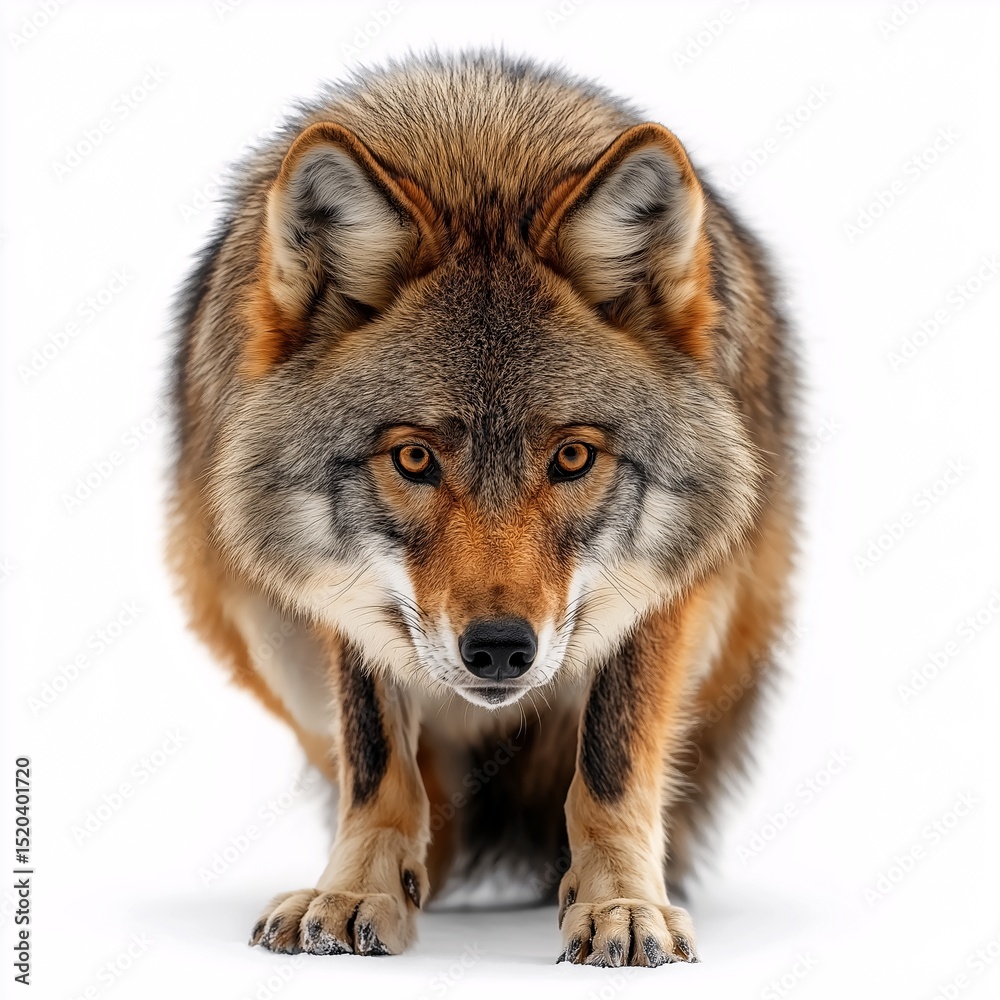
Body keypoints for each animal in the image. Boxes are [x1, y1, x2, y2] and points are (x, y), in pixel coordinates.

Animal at [168, 52, 797, 966]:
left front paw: (618, 905)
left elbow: (612, 765)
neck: (482, 164)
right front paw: (355, 889)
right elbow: (375, 760)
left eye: (572, 458)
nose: (500, 649)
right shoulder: (343, 596)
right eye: (414, 459)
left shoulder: (667, 585)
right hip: (254, 622)